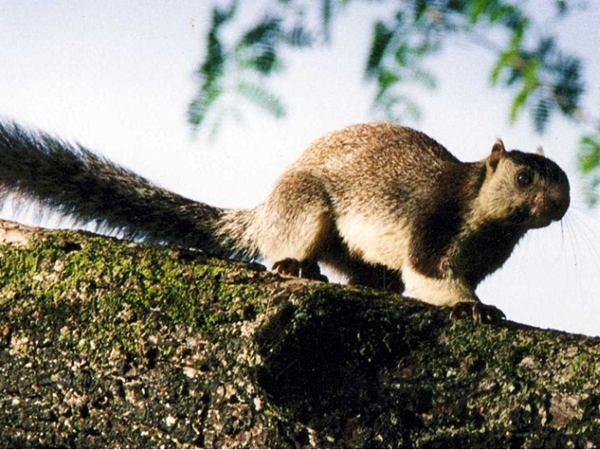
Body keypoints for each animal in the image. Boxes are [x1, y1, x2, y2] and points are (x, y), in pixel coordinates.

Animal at [0, 121, 568, 322]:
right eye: (522, 177)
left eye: (563, 177)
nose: (558, 203)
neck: (492, 226)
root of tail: (264, 213)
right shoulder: (434, 225)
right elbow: (433, 275)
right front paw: (475, 308)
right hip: (307, 208)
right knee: (288, 246)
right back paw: (295, 265)